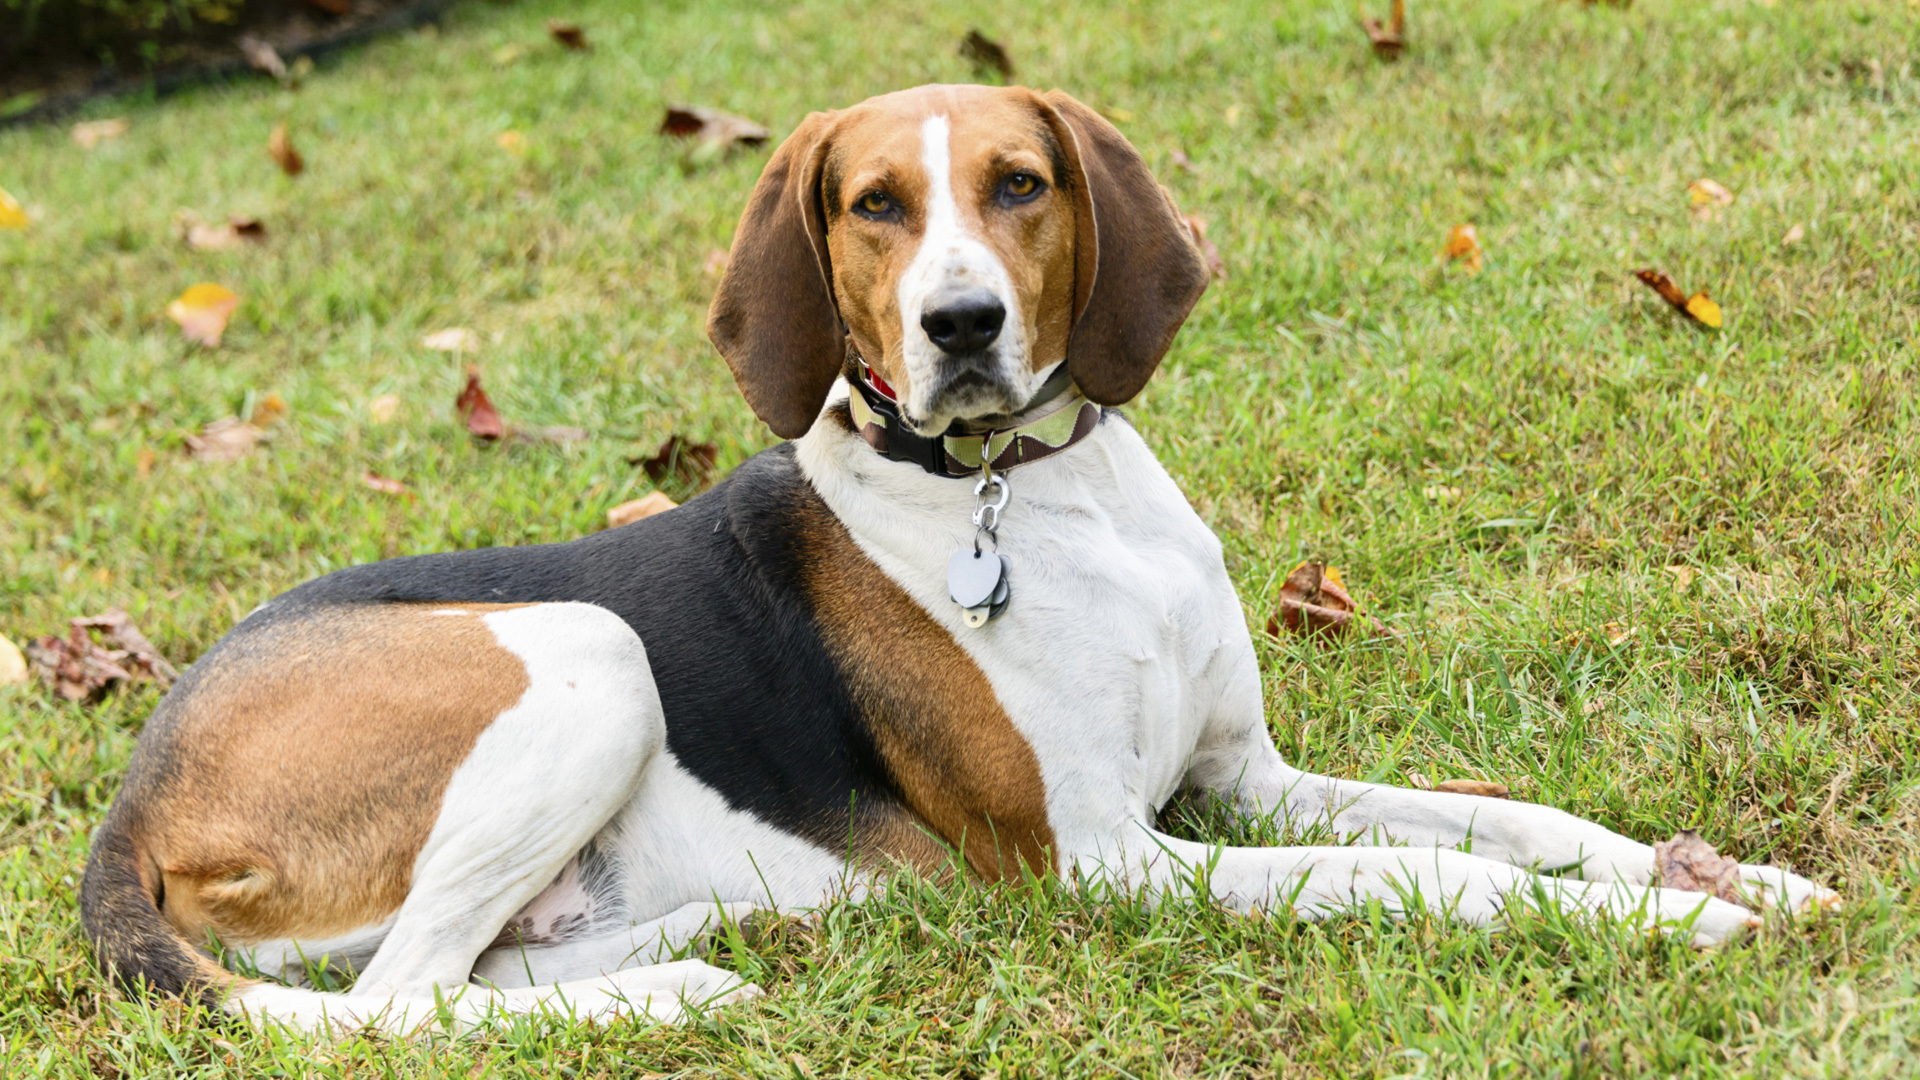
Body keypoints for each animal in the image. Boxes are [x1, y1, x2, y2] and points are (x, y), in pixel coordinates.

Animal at [82, 84, 1835, 1022]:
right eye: (871, 204)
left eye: (1020, 185)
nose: (962, 325)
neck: (1044, 501)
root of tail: (138, 789)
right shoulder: (1116, 857)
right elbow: (1419, 875)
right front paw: (1668, 927)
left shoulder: (1244, 778)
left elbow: (1519, 822)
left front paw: (1720, 873)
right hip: (587, 650)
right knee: (398, 1004)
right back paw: (673, 993)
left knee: (471, 974)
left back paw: (732, 937)